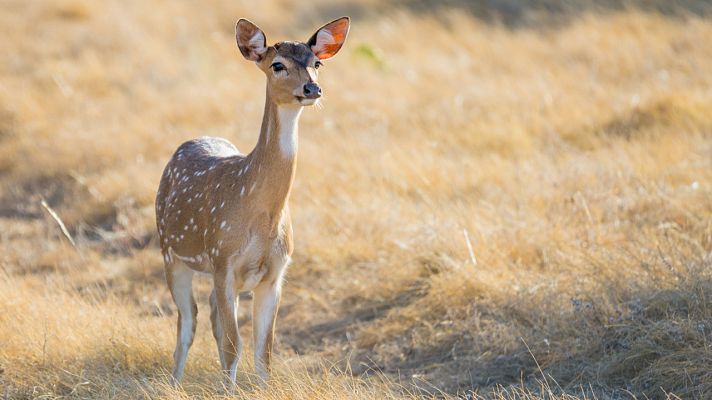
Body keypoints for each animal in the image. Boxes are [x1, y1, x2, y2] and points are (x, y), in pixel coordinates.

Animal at [154, 16, 350, 388]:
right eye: (278, 65)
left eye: (317, 64)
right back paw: (174, 382)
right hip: (172, 253)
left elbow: (263, 352)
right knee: (188, 323)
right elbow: (235, 345)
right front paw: (228, 390)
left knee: (211, 319)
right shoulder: (223, 261)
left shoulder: (275, 274)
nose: (312, 89)